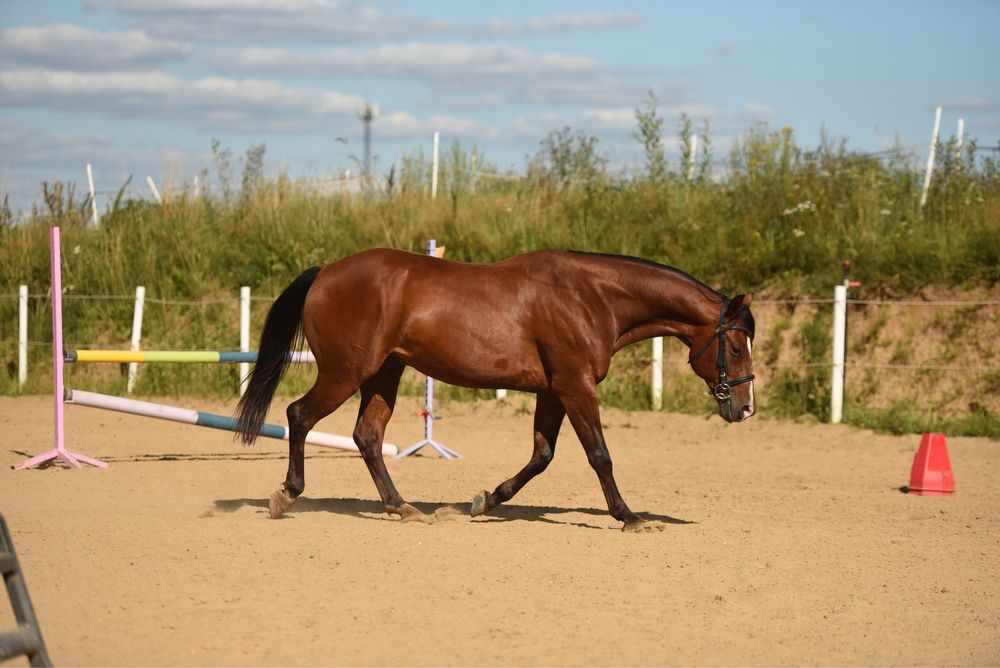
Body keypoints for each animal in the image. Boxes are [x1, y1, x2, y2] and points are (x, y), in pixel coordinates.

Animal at [234, 249, 756, 531]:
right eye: (734, 344)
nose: (745, 408)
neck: (591, 298)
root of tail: (325, 272)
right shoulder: (576, 387)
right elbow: (599, 455)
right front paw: (630, 516)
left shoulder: (553, 392)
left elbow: (542, 456)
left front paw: (485, 500)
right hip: (346, 372)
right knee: (300, 415)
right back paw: (286, 496)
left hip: (384, 374)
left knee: (367, 436)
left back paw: (403, 507)